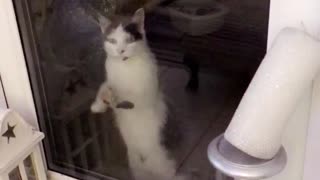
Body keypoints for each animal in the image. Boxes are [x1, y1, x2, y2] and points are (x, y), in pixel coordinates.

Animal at [90, 8, 185, 180]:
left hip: (166, 167)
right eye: (112, 41)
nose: (120, 51)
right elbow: (104, 86)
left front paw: (117, 99)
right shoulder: (110, 75)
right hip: (136, 167)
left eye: (129, 40)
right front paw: (99, 104)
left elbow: (134, 97)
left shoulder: (148, 92)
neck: (125, 66)